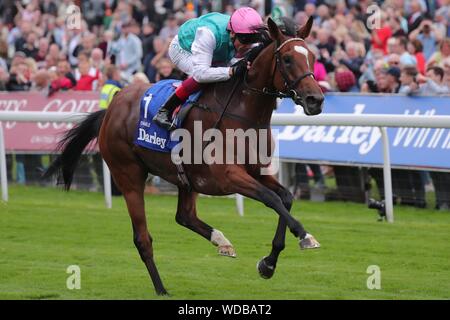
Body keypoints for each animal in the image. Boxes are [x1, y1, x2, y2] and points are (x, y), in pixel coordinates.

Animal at [44, 17, 324, 296]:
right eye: (287, 59)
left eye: (311, 56)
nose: (316, 99)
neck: (243, 115)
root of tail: (111, 109)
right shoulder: (229, 175)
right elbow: (271, 199)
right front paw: (304, 235)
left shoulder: (256, 172)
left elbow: (285, 198)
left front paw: (268, 263)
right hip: (128, 175)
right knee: (142, 238)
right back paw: (161, 289)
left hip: (186, 178)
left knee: (184, 216)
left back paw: (221, 241)